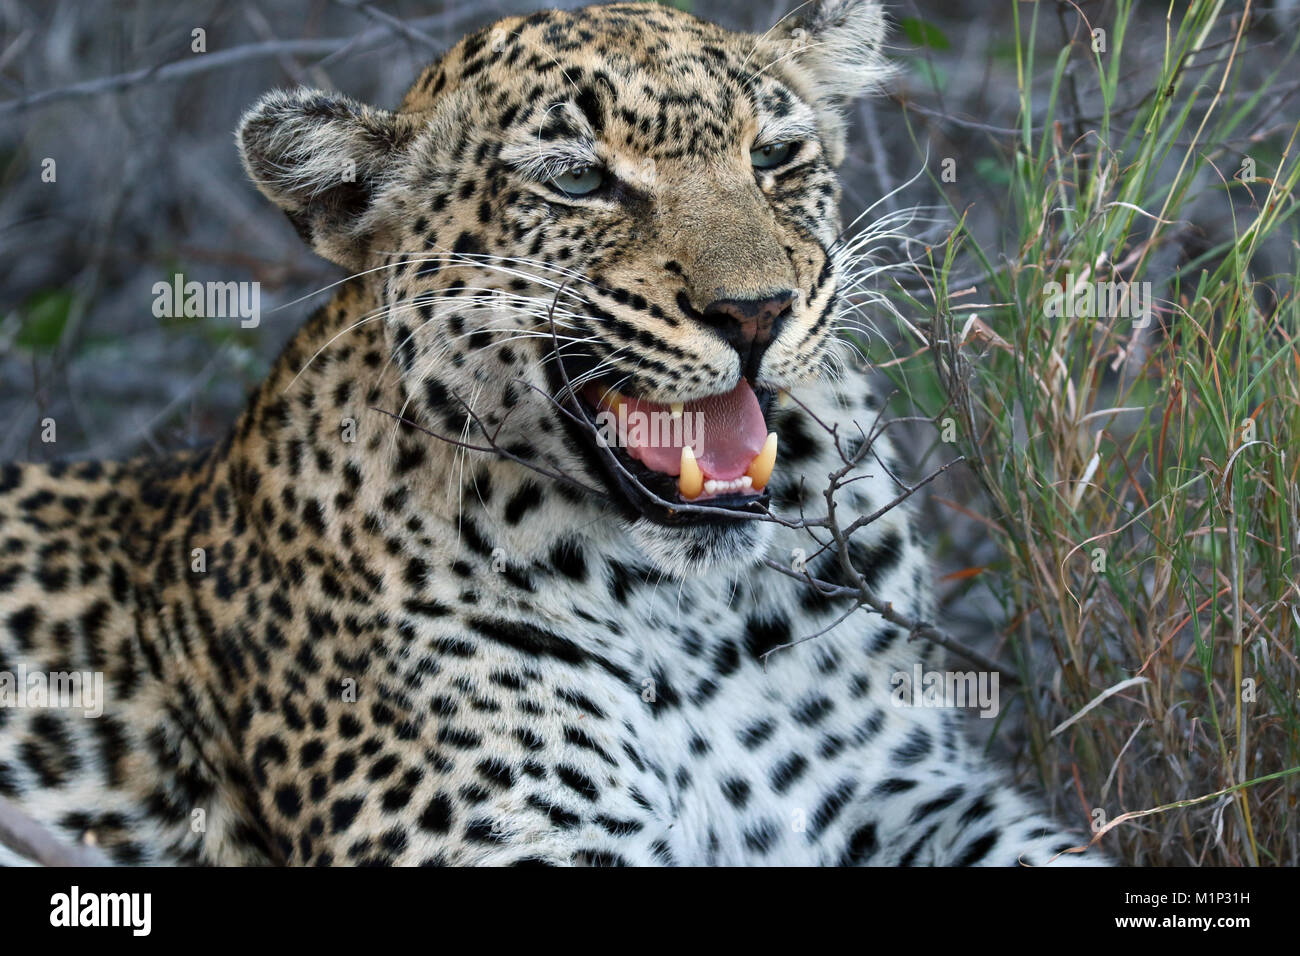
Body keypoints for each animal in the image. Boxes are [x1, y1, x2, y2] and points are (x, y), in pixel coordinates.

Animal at [0, 0, 1107, 868]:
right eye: (578, 180)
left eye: (773, 157)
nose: (756, 312)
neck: (698, 617)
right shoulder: (508, 840)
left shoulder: (906, 787)